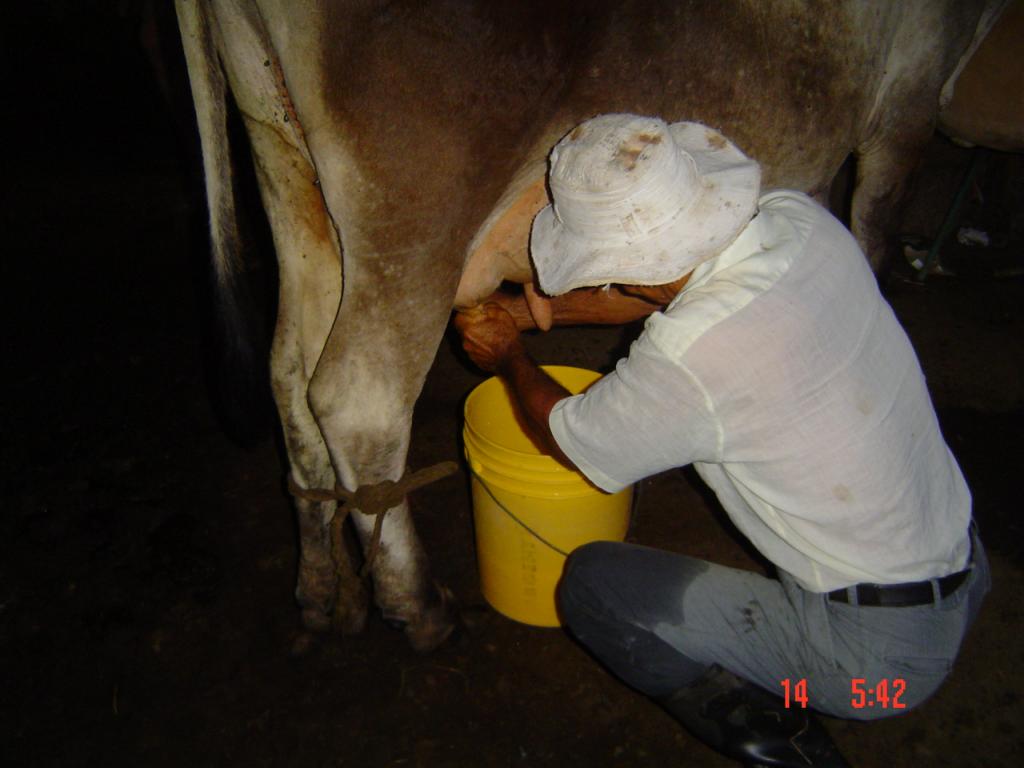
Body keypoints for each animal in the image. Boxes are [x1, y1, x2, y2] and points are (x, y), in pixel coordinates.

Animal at [176, 0, 1007, 651]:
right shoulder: (905, 105)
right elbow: (873, 233)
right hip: (413, 205)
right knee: (357, 396)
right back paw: (417, 606)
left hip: (287, 170)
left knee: (290, 369)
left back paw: (326, 588)